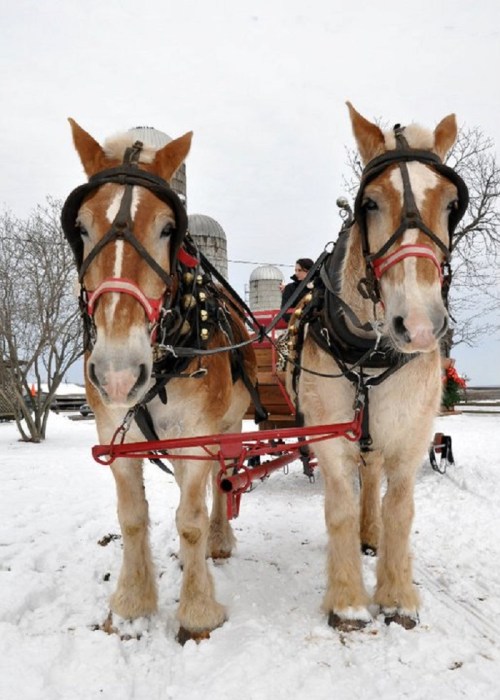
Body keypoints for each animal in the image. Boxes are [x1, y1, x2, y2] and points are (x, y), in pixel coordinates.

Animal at [61, 122, 258, 643]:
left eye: (169, 228)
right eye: (81, 227)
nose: (118, 372)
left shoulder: (197, 436)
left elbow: (189, 520)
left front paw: (198, 612)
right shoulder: (114, 433)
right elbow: (132, 518)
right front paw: (131, 605)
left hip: (228, 427)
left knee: (222, 480)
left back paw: (217, 541)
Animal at [287, 103, 468, 631]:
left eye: (451, 204)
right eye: (369, 203)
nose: (421, 325)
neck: (369, 350)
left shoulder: (410, 434)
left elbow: (399, 509)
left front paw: (397, 595)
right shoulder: (328, 434)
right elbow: (341, 508)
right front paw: (347, 600)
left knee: (372, 477)